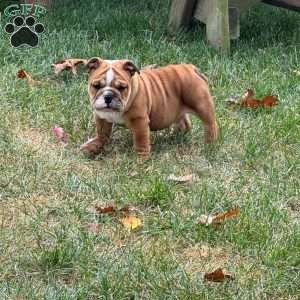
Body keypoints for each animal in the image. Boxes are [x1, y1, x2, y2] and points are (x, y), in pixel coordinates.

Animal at [80, 57, 218, 158]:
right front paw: (94, 145)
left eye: (122, 87)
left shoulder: (139, 120)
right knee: (184, 122)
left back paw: (210, 144)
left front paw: (141, 158)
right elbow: (102, 132)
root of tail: (191, 68)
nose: (108, 96)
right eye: (96, 86)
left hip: (201, 104)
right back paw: (176, 136)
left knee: (210, 124)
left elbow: (141, 139)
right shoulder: (101, 117)